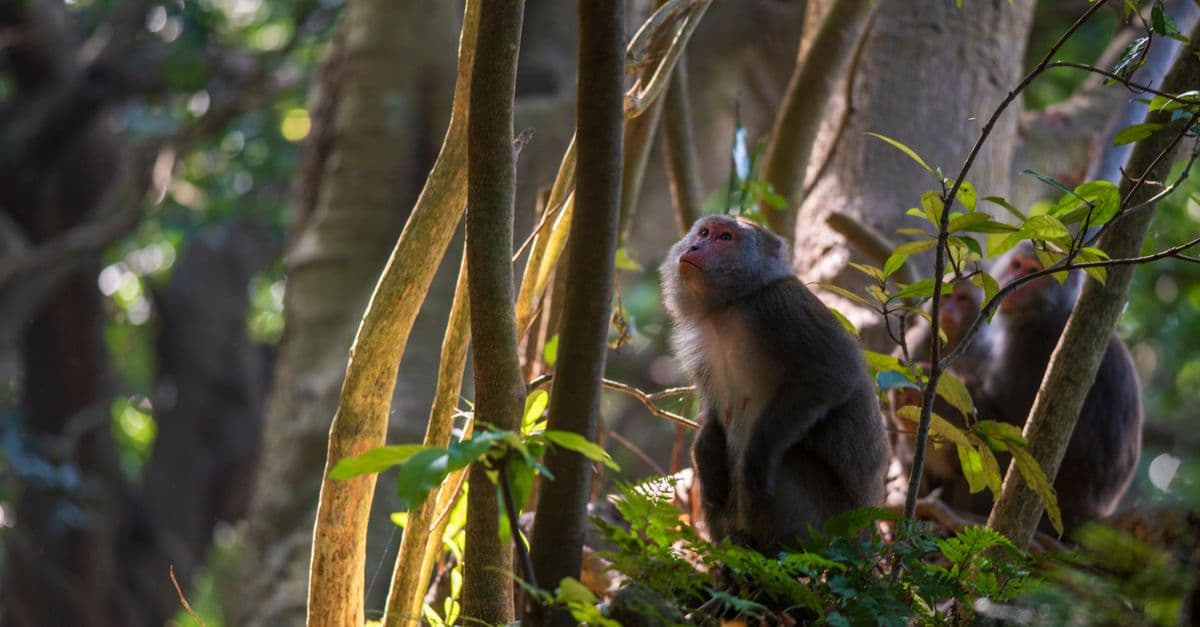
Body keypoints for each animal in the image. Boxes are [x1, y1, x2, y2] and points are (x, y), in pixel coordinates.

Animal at [660, 215, 888, 552]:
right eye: (703, 233)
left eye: (725, 237)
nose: (695, 247)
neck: (731, 306)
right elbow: (713, 415)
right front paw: (705, 447)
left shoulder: (778, 307)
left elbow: (834, 373)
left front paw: (760, 453)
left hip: (827, 525)